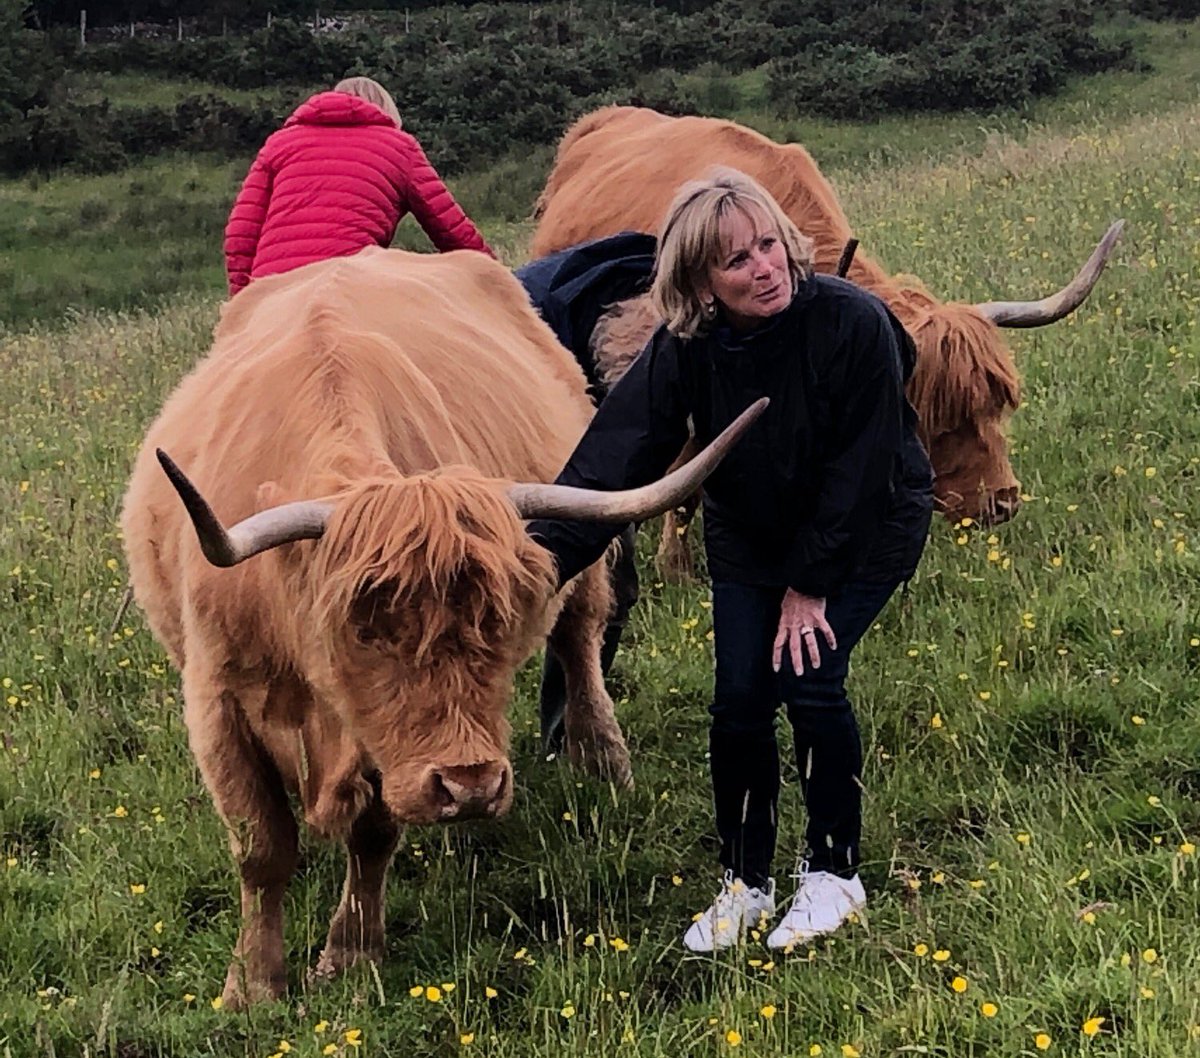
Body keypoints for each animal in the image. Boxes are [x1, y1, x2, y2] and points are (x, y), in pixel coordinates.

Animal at [120, 246, 763, 1008]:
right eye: (364, 630)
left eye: (502, 623)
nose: (471, 786)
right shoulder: (217, 700)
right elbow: (262, 846)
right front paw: (253, 985)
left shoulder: (384, 742)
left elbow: (371, 833)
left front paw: (350, 955)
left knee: (580, 645)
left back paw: (604, 761)